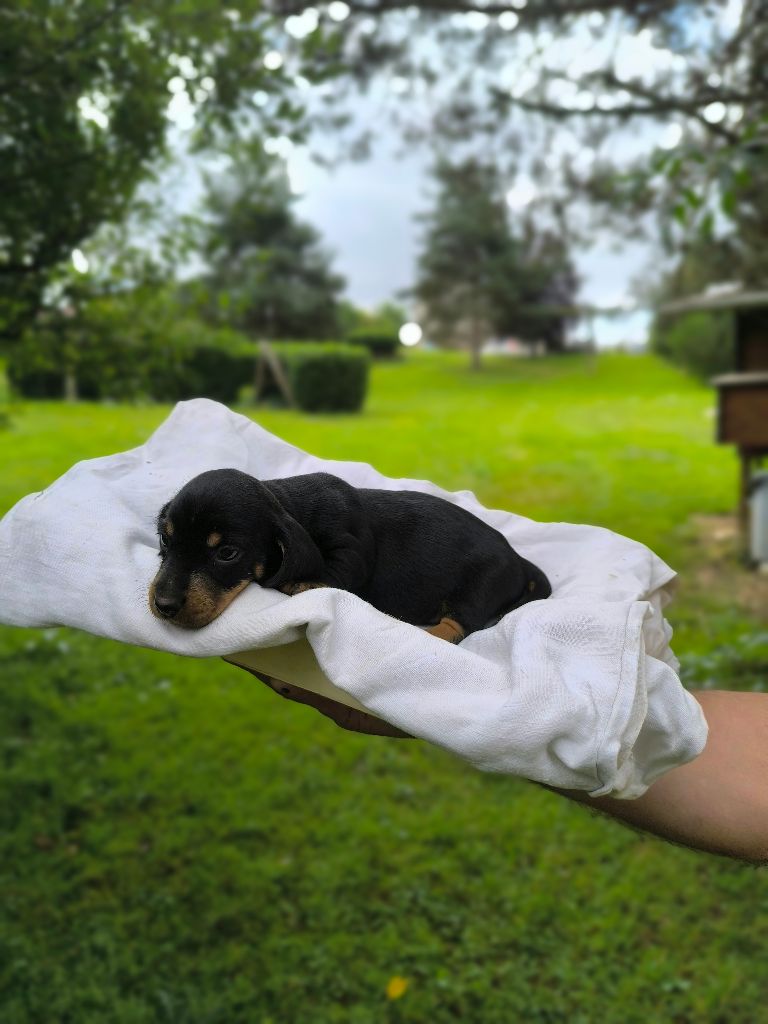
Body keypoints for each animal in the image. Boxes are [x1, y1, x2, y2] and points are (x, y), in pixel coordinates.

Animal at [147, 468, 548, 643]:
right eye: (166, 539)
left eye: (227, 553)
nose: (163, 605)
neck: (290, 505)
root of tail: (518, 560)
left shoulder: (350, 552)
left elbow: (325, 576)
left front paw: (295, 584)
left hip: (478, 586)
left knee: (458, 625)